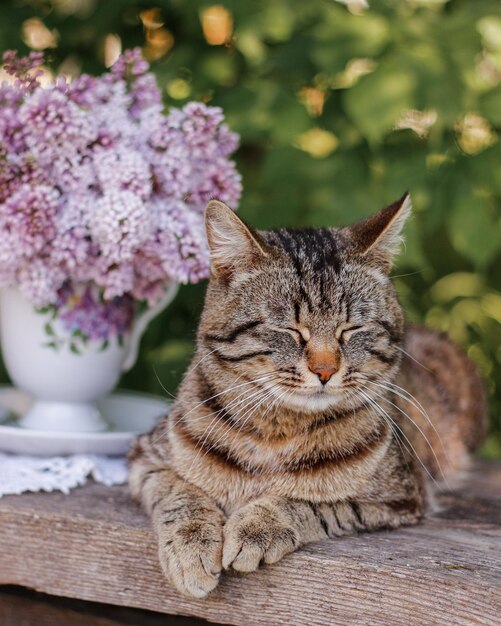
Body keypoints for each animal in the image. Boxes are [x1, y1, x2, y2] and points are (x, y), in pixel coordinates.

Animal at [128, 195, 484, 596]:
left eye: (351, 329)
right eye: (291, 330)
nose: (325, 371)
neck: (274, 432)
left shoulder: (400, 498)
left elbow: (310, 503)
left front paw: (257, 527)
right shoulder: (144, 458)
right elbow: (181, 496)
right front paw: (192, 546)